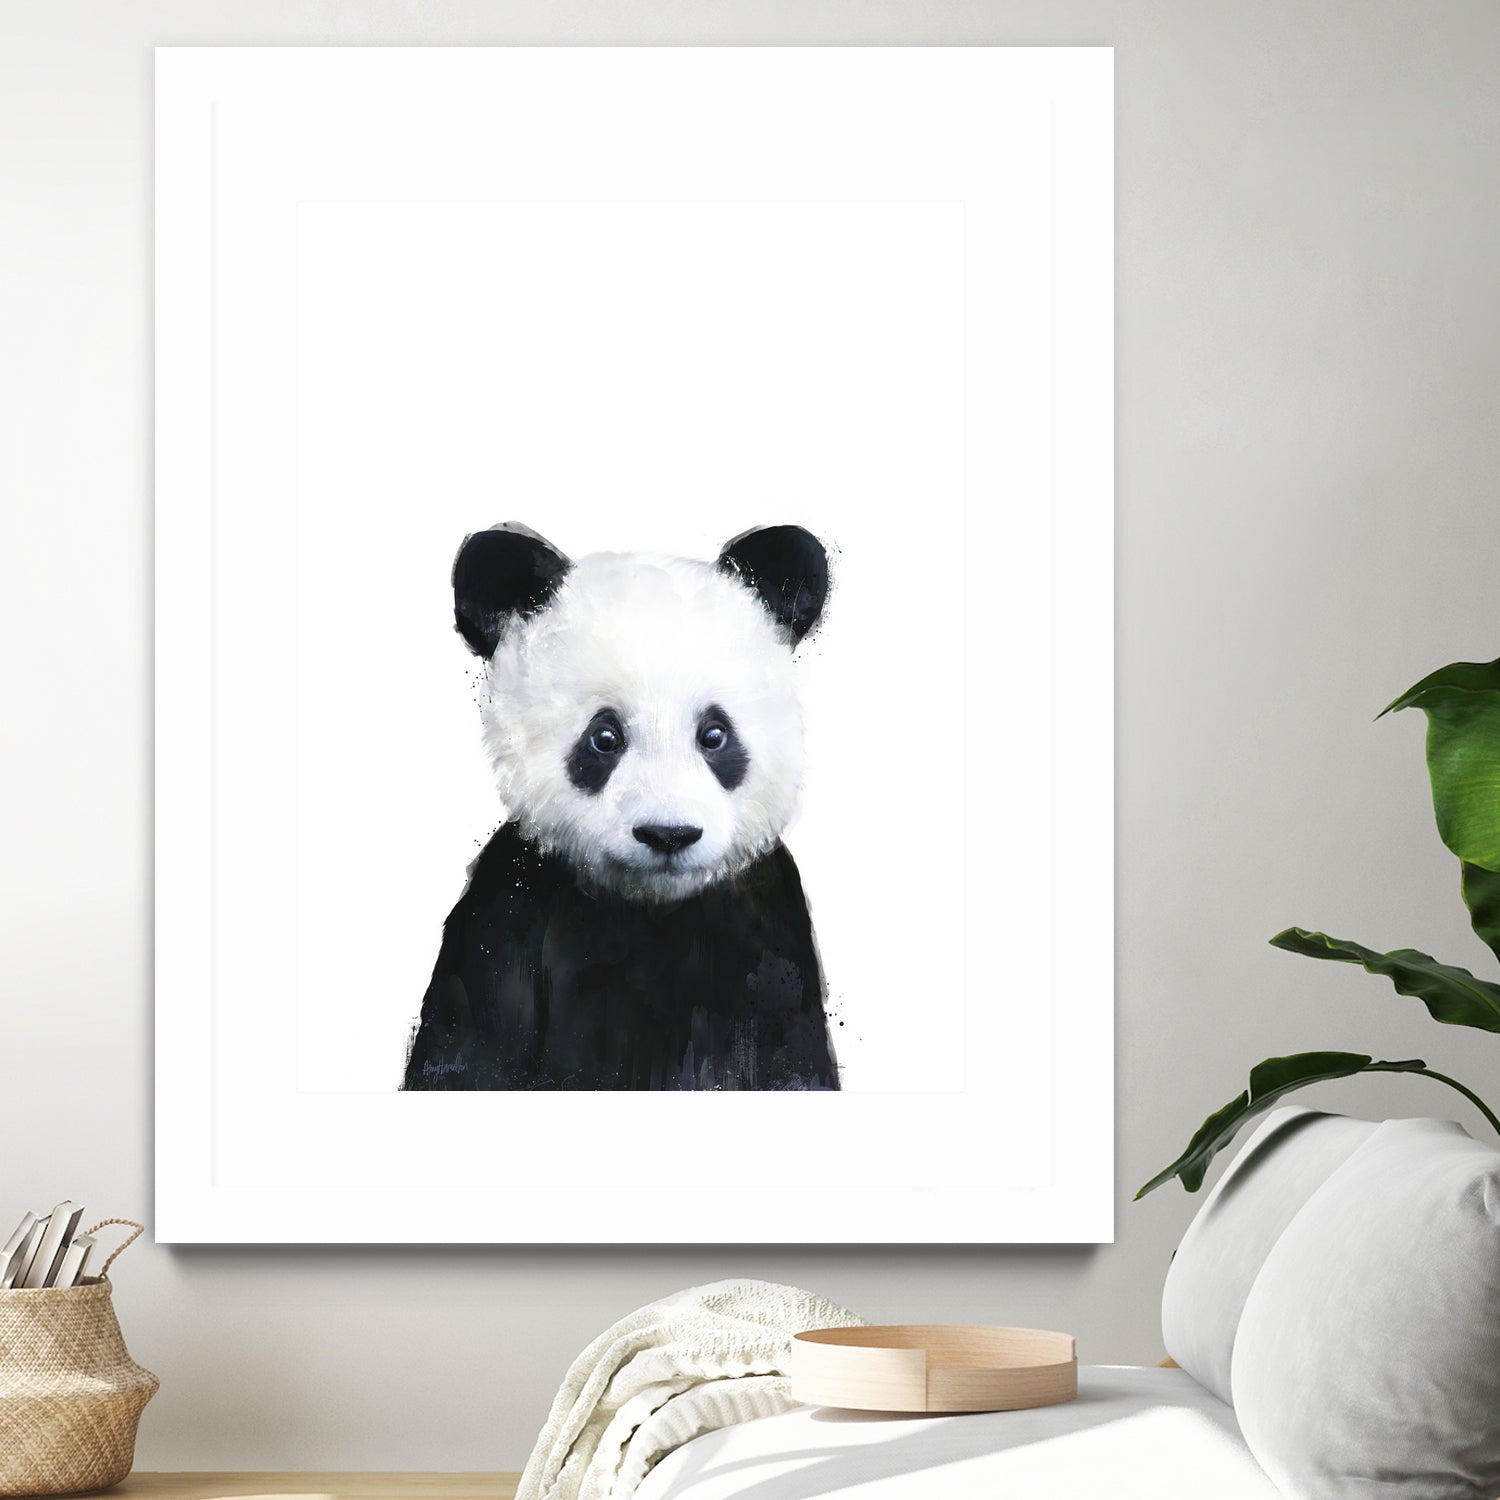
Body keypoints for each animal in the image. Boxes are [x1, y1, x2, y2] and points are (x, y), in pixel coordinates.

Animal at [401, 522, 841, 1092]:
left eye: (714, 735)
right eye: (604, 737)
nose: (668, 834)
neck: (651, 907)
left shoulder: (766, 932)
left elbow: (790, 1059)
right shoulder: (508, 913)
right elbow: (469, 1049)